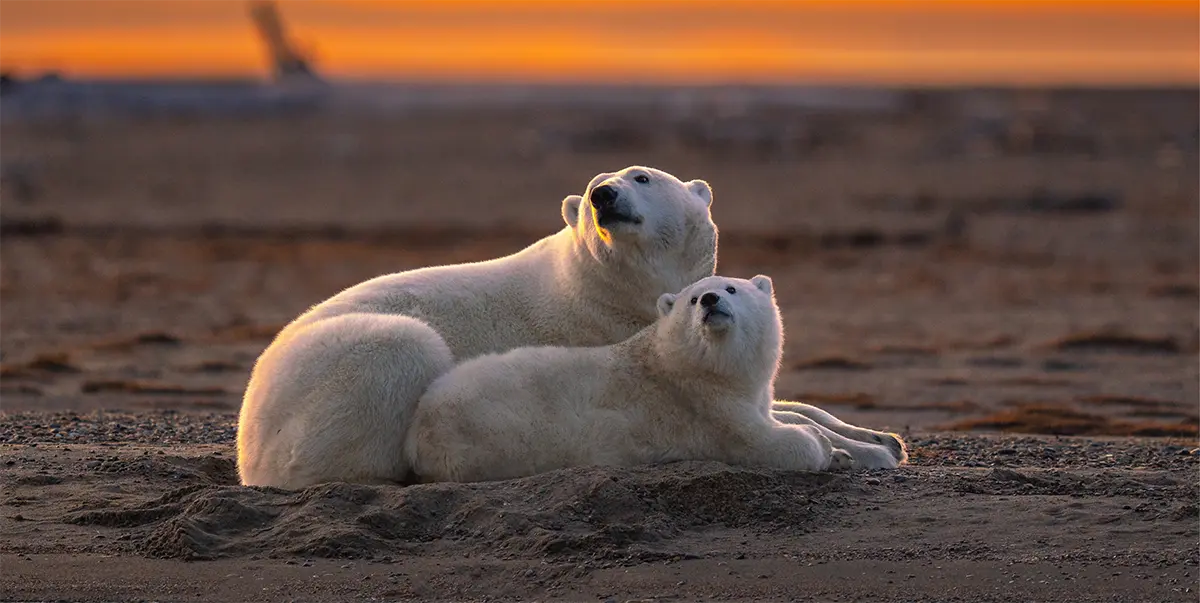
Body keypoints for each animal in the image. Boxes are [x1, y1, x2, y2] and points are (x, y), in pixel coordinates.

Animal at [236, 166, 720, 489]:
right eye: (588, 190)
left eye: (642, 177)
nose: (603, 195)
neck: (596, 286)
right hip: (323, 386)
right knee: (403, 345)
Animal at [406, 274, 865, 484]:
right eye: (693, 298)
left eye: (732, 289)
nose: (710, 300)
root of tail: (419, 425)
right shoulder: (705, 408)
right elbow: (766, 443)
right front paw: (824, 448)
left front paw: (843, 451)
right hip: (501, 433)